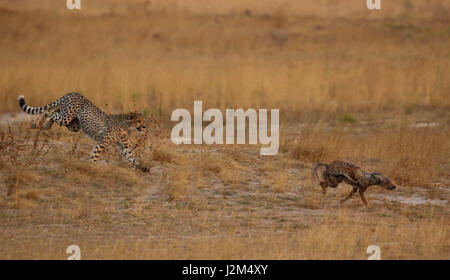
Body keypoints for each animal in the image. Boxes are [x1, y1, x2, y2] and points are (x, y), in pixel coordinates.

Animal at [18, 92, 149, 172]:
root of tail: (73, 93)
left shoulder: (124, 147)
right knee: (50, 110)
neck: (126, 126)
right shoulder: (102, 143)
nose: (144, 127)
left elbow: (131, 157)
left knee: (55, 110)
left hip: (73, 125)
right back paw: (38, 124)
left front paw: (142, 167)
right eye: (138, 121)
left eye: (143, 120)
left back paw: (42, 125)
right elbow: (95, 155)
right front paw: (92, 167)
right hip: (67, 118)